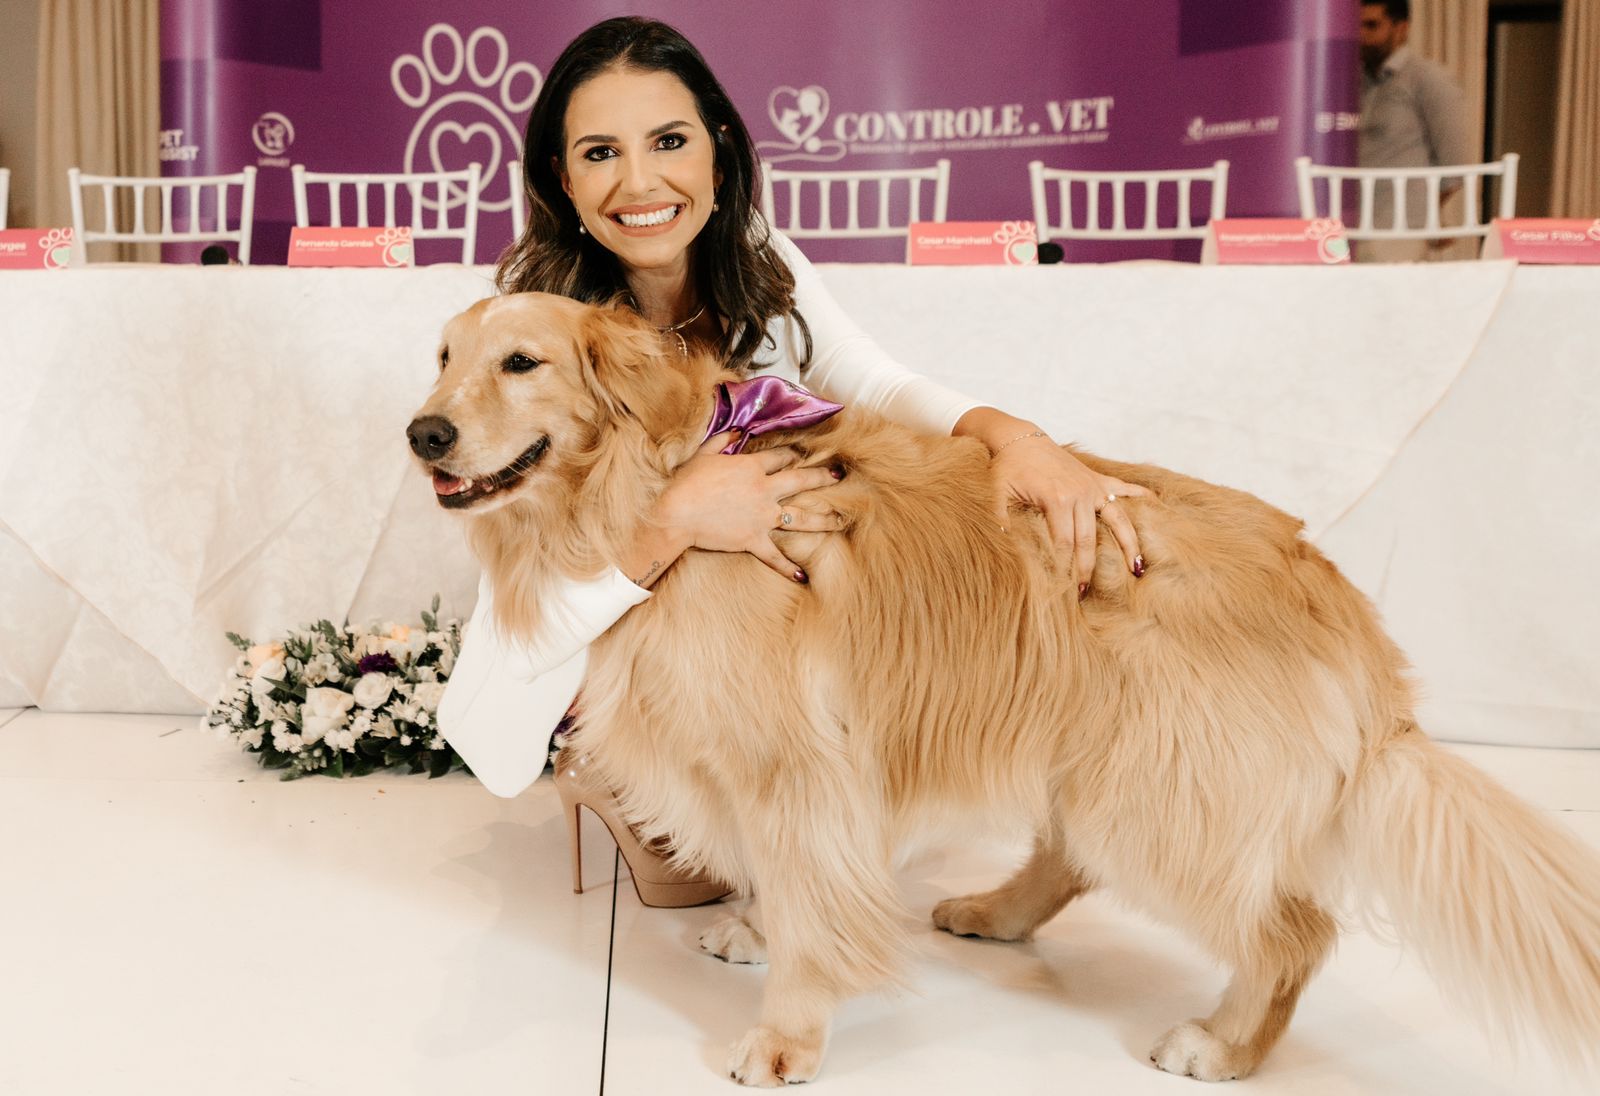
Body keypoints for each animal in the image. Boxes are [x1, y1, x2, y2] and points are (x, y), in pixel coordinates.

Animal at [406, 292, 1600, 1088]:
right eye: (442, 357)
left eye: (522, 361)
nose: (423, 432)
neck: (651, 485)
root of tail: (1329, 585)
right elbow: (785, 879)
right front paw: (755, 925)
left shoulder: (800, 760)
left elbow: (809, 888)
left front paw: (788, 1031)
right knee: (1071, 858)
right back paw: (992, 912)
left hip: (1157, 787)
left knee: (1292, 928)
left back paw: (1221, 1043)